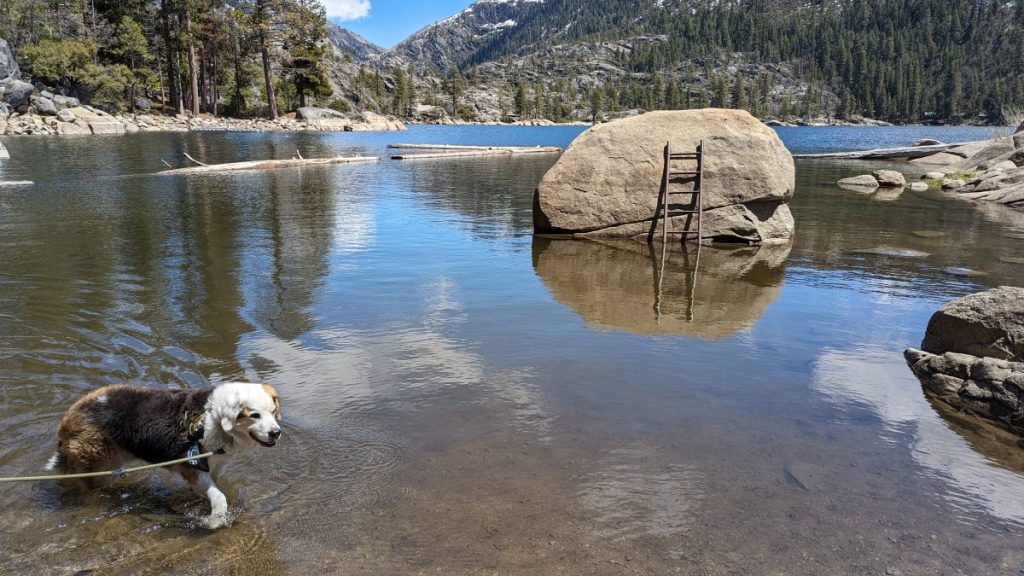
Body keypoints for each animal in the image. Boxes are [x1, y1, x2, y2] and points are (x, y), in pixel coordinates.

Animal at [47, 379, 280, 528]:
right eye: (254, 415)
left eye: (273, 412)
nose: (276, 433)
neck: (213, 419)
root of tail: (68, 418)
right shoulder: (192, 467)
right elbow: (219, 497)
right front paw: (216, 519)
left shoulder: (213, 466)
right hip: (99, 467)